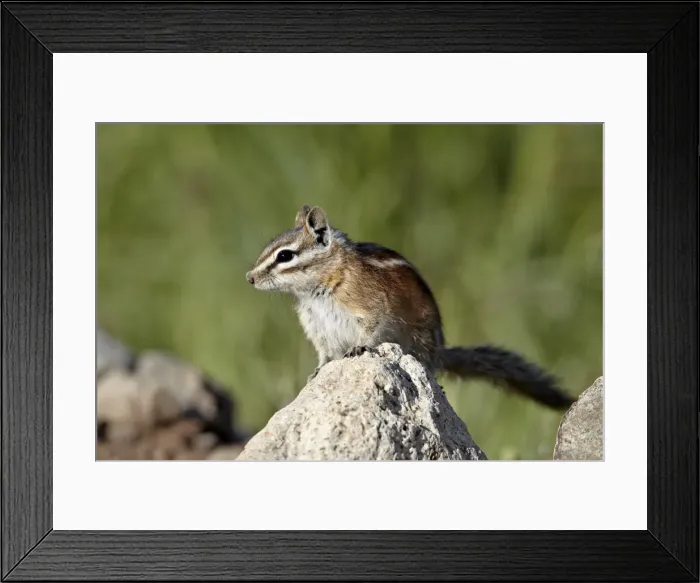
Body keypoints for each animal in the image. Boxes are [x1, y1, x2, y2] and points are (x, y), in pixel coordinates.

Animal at [246, 204, 575, 410]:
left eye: (285, 256)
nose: (249, 278)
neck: (320, 286)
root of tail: (440, 352)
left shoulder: (370, 308)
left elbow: (370, 331)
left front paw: (359, 348)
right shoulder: (318, 328)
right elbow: (325, 354)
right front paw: (318, 371)